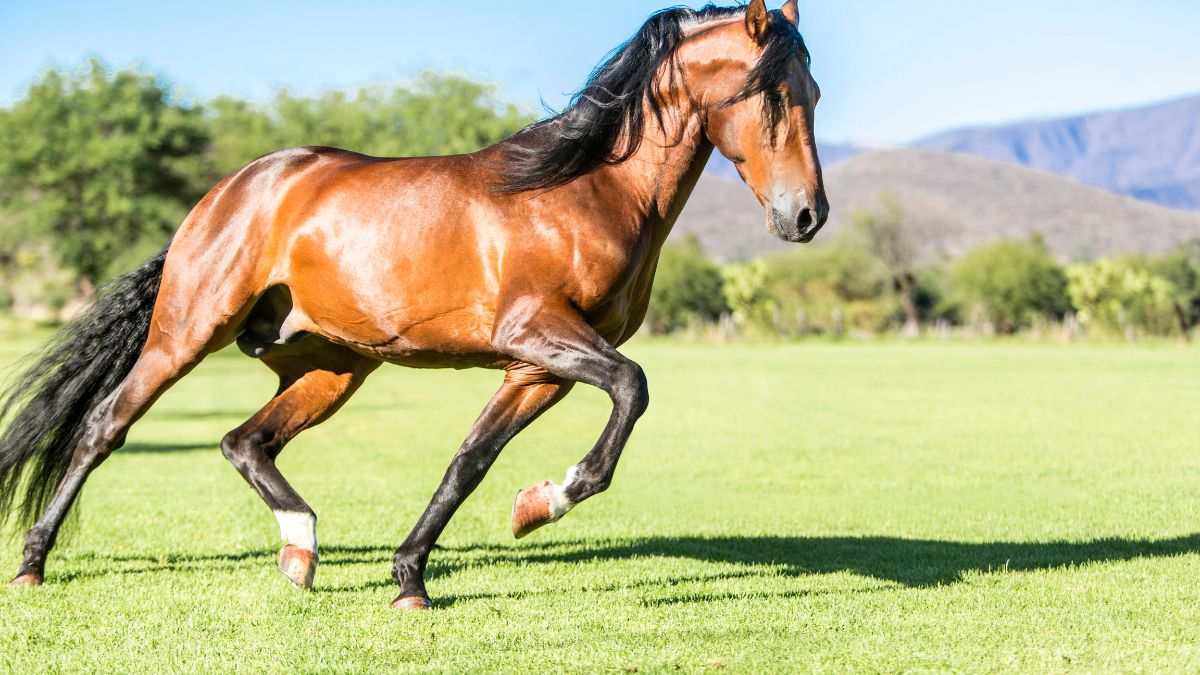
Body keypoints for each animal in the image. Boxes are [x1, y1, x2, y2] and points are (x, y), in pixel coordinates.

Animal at [0, 0, 826, 609]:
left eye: (813, 93)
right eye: (773, 92)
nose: (806, 216)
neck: (588, 187)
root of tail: (231, 191)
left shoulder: (537, 369)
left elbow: (469, 461)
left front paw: (418, 574)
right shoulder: (538, 332)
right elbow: (633, 387)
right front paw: (543, 500)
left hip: (332, 367)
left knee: (245, 441)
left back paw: (301, 549)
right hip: (186, 334)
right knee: (105, 426)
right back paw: (34, 562)